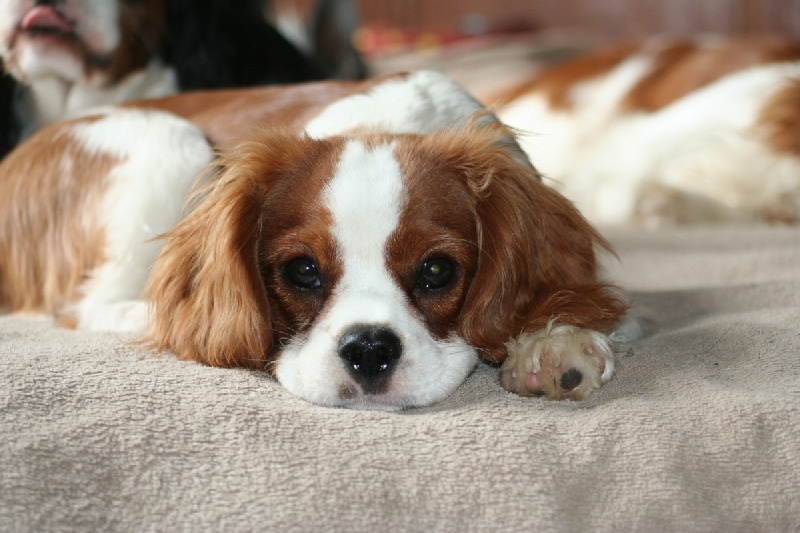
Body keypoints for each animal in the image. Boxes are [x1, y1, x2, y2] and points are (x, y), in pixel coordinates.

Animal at [0, 70, 628, 410]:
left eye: (436, 271)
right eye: (302, 271)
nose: (368, 349)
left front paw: (553, 342)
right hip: (170, 142)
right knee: (88, 307)